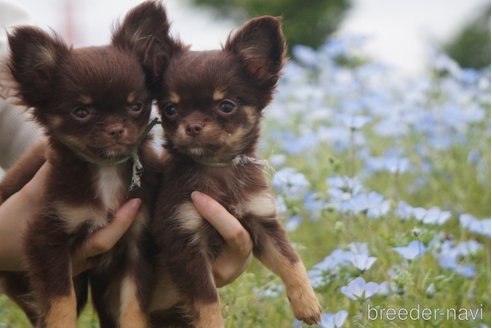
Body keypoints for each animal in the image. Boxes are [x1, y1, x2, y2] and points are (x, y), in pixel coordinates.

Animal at [0, 1, 176, 326]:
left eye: (136, 106)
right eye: (81, 112)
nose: (116, 129)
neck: (106, 169)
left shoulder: (136, 243)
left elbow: (133, 305)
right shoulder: (47, 239)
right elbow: (61, 304)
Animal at [152, 14, 324, 326]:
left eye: (226, 106)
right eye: (170, 109)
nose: (192, 126)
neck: (217, 167)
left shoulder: (261, 221)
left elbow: (290, 259)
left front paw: (307, 302)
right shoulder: (184, 240)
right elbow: (207, 299)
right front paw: (212, 323)